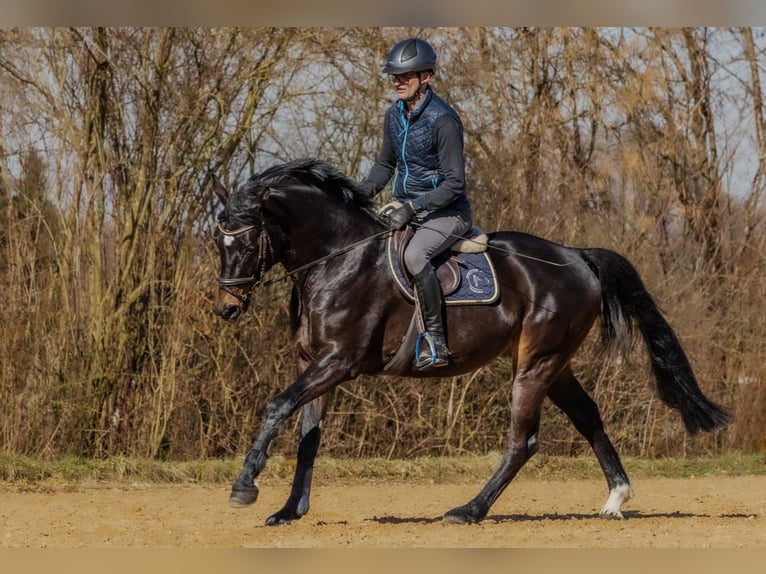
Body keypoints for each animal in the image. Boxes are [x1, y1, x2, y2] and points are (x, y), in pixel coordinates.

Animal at [211, 157, 729, 526]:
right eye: (218, 242)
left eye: (245, 241)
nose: (226, 309)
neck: (337, 258)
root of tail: (577, 256)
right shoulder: (316, 363)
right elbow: (308, 438)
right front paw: (288, 511)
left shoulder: (339, 361)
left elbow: (278, 406)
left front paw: (244, 486)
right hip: (553, 364)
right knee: (587, 416)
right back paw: (615, 498)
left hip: (535, 364)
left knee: (523, 441)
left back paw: (469, 510)